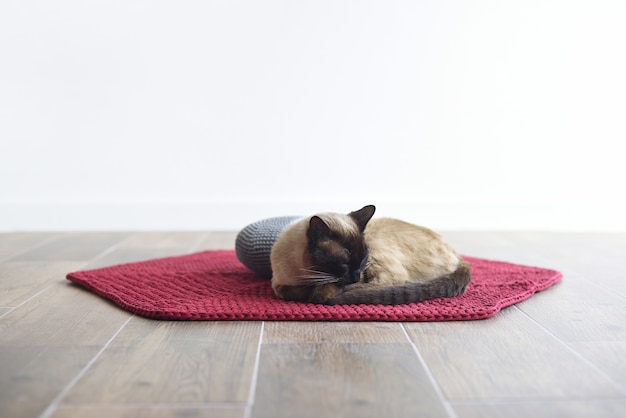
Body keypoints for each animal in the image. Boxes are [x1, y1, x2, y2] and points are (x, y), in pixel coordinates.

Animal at [268, 205, 468, 306]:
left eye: (363, 259)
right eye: (344, 263)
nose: (356, 276)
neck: (307, 275)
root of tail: (457, 255)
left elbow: (319, 292)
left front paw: (319, 293)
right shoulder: (279, 285)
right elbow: (291, 292)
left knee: (390, 283)